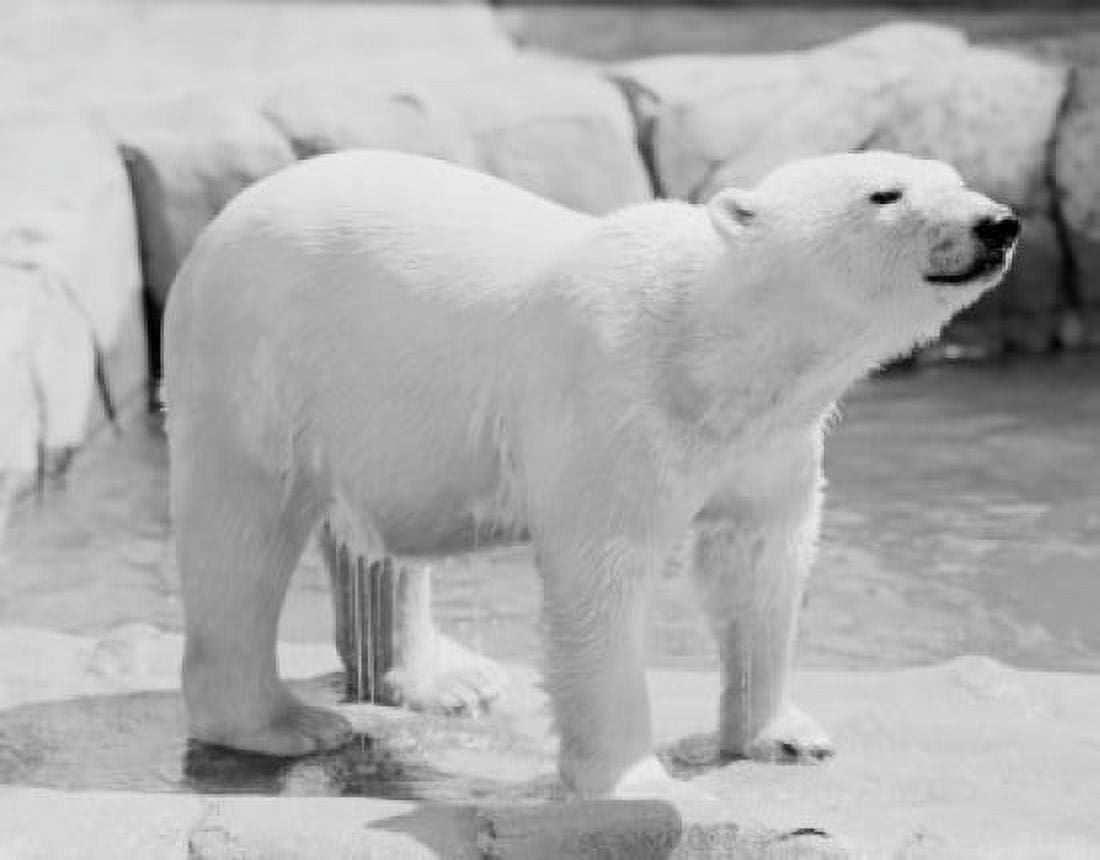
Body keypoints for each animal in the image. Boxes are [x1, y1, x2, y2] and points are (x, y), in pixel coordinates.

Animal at [163, 149, 1018, 799]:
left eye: (956, 175)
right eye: (887, 192)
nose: (998, 223)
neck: (709, 348)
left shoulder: (769, 441)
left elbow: (759, 561)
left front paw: (782, 736)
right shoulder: (613, 403)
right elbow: (603, 576)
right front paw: (630, 779)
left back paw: (444, 681)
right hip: (262, 362)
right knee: (243, 535)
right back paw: (280, 724)